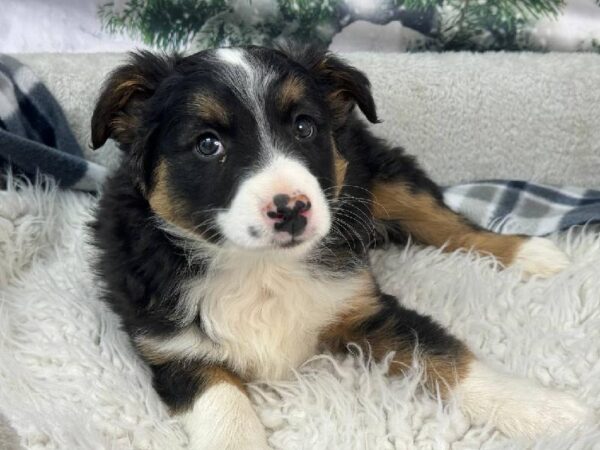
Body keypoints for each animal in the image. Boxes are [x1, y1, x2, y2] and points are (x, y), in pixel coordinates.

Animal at [92, 46, 592, 450]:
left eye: (304, 127)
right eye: (207, 144)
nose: (291, 209)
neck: (261, 267)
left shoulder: (363, 305)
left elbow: (446, 355)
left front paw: (545, 411)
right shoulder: (172, 350)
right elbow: (226, 409)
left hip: (383, 178)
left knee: (450, 224)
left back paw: (533, 256)